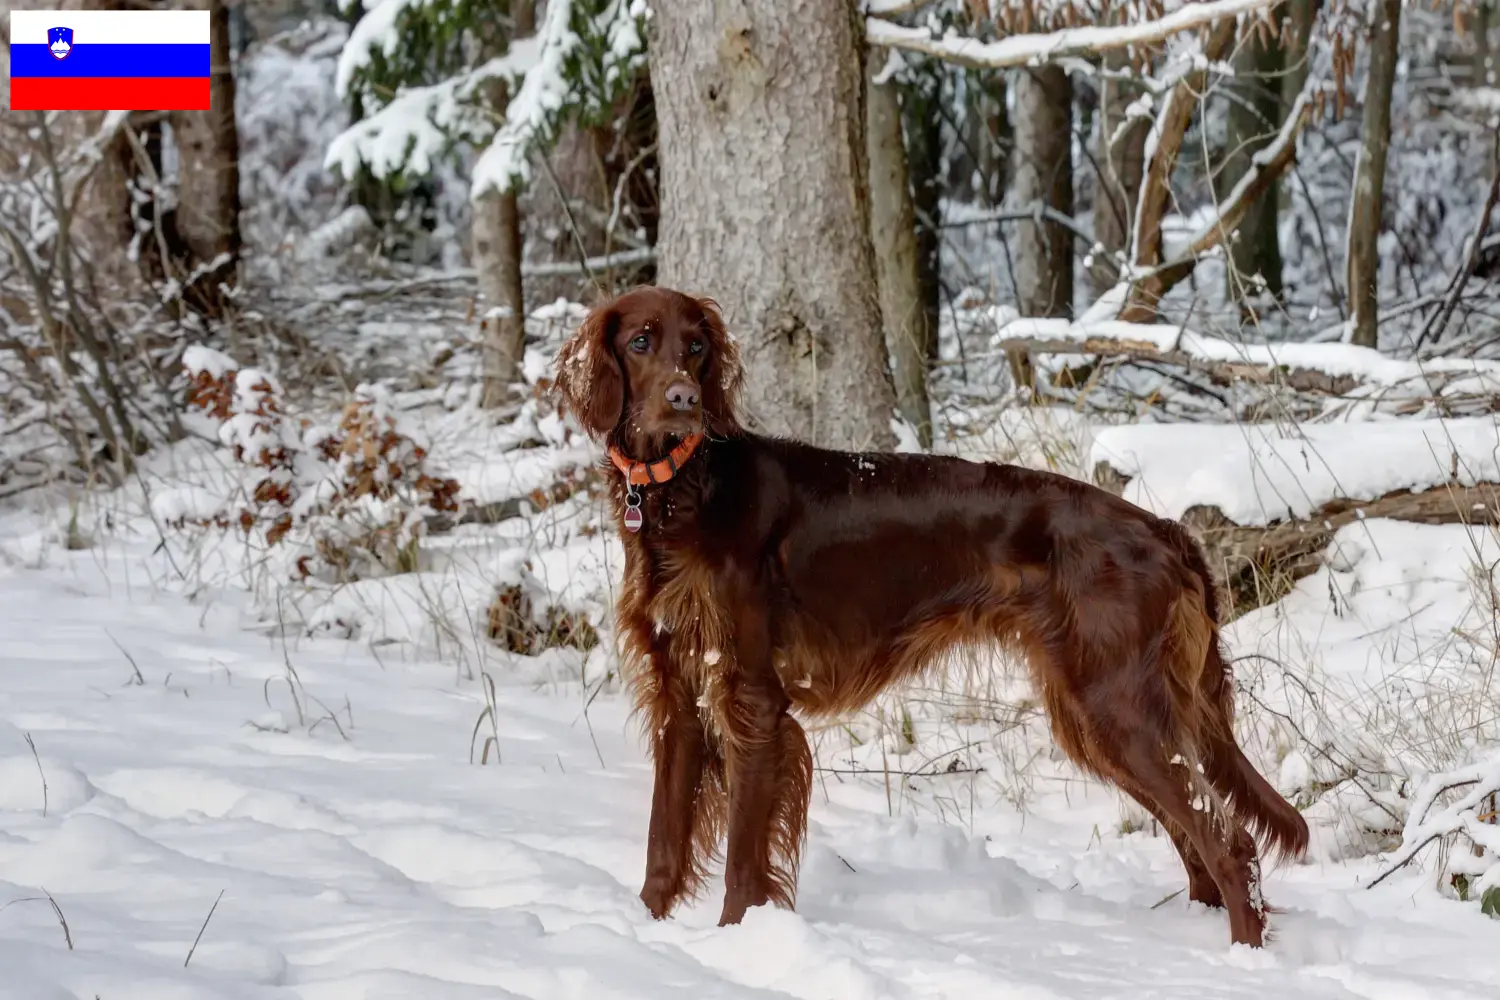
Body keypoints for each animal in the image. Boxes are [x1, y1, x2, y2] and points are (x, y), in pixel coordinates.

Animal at [552, 287, 1302, 947]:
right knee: (1194, 840)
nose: (683, 403)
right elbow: (663, 841)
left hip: (1117, 707)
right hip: (1103, 715)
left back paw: (1242, 956)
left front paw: (737, 941)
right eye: (642, 341)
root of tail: (1165, 529)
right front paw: (643, 928)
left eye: (697, 346)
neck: (683, 492)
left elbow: (743, 856)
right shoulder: (679, 695)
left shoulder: (751, 698)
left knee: (1227, 841)